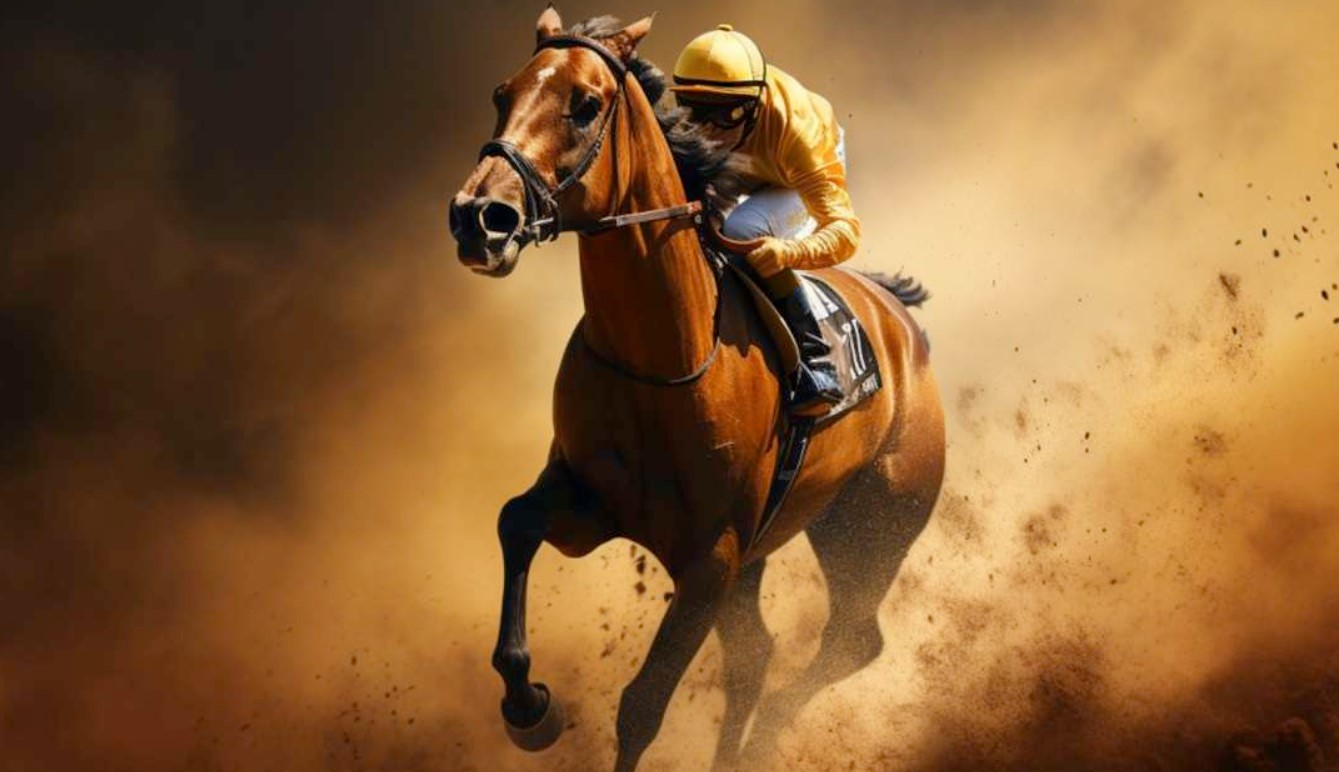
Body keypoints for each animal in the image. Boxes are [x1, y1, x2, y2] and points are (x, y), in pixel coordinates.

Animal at [449, 9, 945, 771]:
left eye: (584, 104)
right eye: (502, 94)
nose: (479, 217)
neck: (659, 359)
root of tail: (902, 325)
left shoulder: (711, 559)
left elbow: (641, 707)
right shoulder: (590, 502)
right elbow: (515, 520)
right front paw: (527, 706)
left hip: (873, 530)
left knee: (851, 641)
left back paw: (772, 729)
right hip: (778, 545)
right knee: (759, 656)